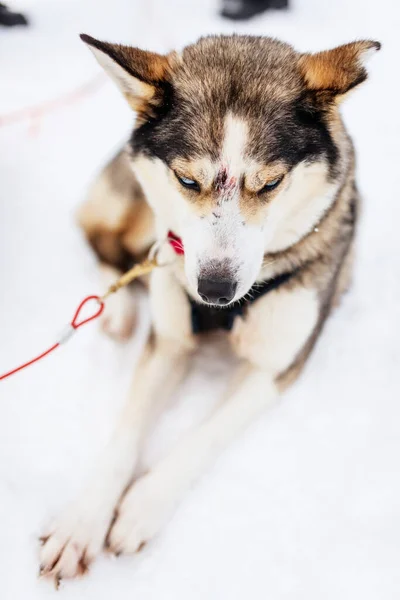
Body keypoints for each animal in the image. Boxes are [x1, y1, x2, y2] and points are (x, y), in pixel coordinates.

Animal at [39, 31, 380, 580]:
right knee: (105, 242)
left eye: (269, 183)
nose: (215, 291)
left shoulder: (276, 367)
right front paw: (83, 520)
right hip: (140, 216)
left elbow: (206, 436)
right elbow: (125, 434)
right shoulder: (169, 342)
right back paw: (116, 307)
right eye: (187, 180)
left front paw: (143, 504)